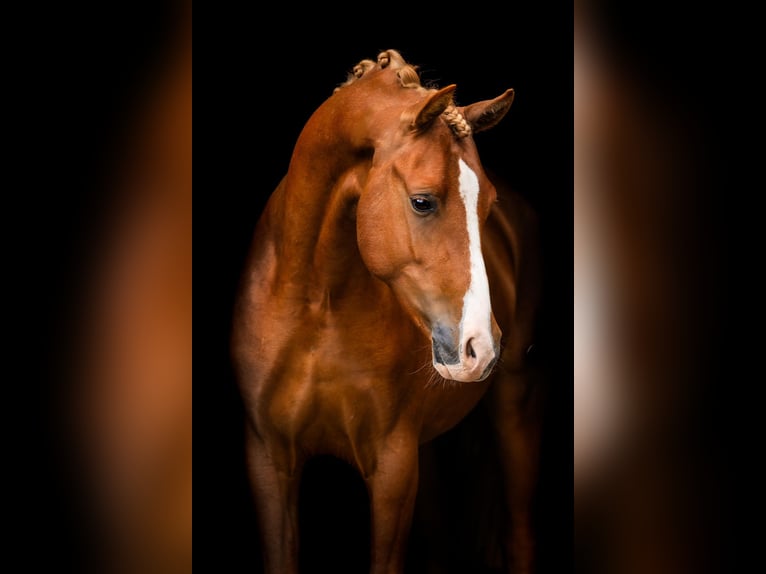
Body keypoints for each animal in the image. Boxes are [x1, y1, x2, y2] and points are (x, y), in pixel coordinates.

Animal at [231, 49, 543, 574]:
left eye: (488, 207)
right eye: (422, 201)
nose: (480, 347)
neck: (317, 306)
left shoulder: (392, 468)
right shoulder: (268, 461)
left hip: (513, 412)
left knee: (520, 534)